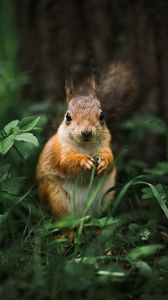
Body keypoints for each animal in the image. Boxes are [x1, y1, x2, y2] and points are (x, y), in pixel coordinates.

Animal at [36, 61, 137, 220]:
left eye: (102, 116)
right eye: (68, 116)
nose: (86, 132)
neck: (86, 147)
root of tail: (84, 214)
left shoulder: (106, 145)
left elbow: (111, 158)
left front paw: (103, 162)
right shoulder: (60, 151)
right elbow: (65, 162)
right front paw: (83, 161)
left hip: (105, 196)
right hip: (55, 196)